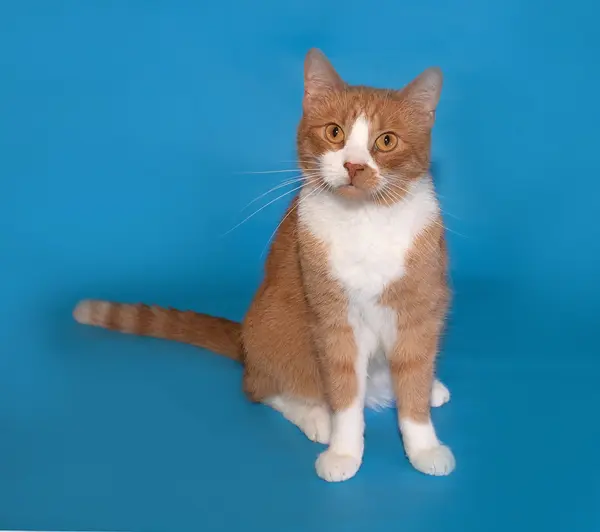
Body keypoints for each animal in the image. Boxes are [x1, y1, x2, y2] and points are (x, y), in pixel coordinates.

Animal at [77, 50, 458, 482]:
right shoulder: (333, 321)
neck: (366, 222)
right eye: (334, 133)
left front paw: (424, 445)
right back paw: (315, 415)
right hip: (276, 325)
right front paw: (343, 451)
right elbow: (344, 395)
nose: (354, 166)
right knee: (261, 387)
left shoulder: (418, 310)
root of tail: (245, 342)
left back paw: (430, 387)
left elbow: (413, 387)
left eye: (387, 141)